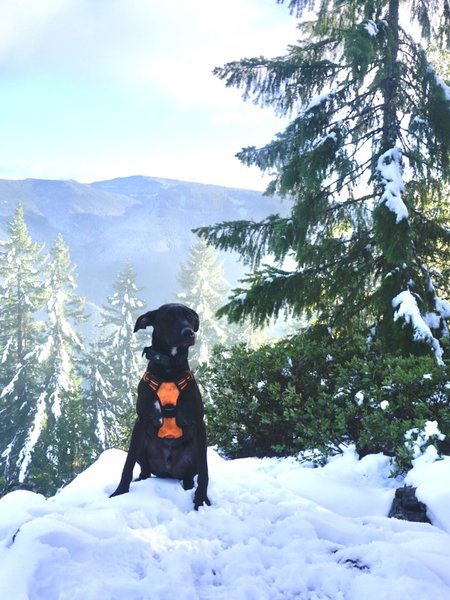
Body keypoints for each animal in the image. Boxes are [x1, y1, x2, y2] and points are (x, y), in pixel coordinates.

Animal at [110, 302, 210, 508]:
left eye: (189, 317)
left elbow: (205, 471)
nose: (189, 333)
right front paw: (120, 492)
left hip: (194, 450)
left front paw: (201, 500)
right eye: (168, 317)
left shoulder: (198, 423)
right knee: (144, 470)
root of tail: (168, 471)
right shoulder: (140, 422)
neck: (169, 369)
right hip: (142, 446)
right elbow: (127, 464)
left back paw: (188, 485)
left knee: (190, 475)